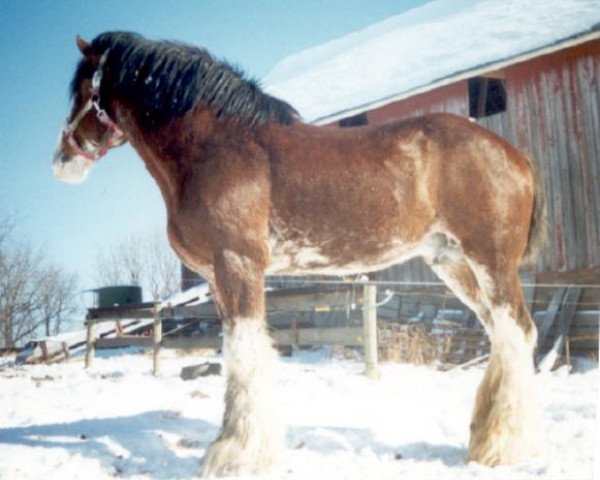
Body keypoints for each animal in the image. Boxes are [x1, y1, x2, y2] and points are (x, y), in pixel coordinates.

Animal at [54, 32, 548, 476]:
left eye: (82, 89)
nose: (61, 161)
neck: (217, 147)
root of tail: (516, 156)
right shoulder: (217, 276)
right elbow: (238, 353)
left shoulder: (238, 264)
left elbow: (246, 354)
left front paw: (236, 456)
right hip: (453, 264)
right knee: (503, 337)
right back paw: (484, 441)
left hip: (491, 262)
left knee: (518, 332)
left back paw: (504, 448)